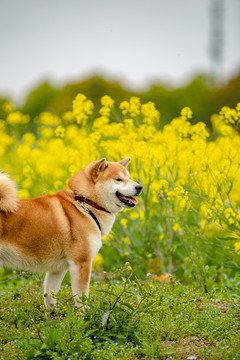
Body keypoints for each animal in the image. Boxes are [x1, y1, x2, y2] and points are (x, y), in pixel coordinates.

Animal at [0, 159, 142, 308]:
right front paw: (85, 313)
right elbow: (82, 297)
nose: (140, 187)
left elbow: (50, 295)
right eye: (118, 179)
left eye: (129, 177)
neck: (85, 204)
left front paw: (52, 313)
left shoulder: (58, 268)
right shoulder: (81, 263)